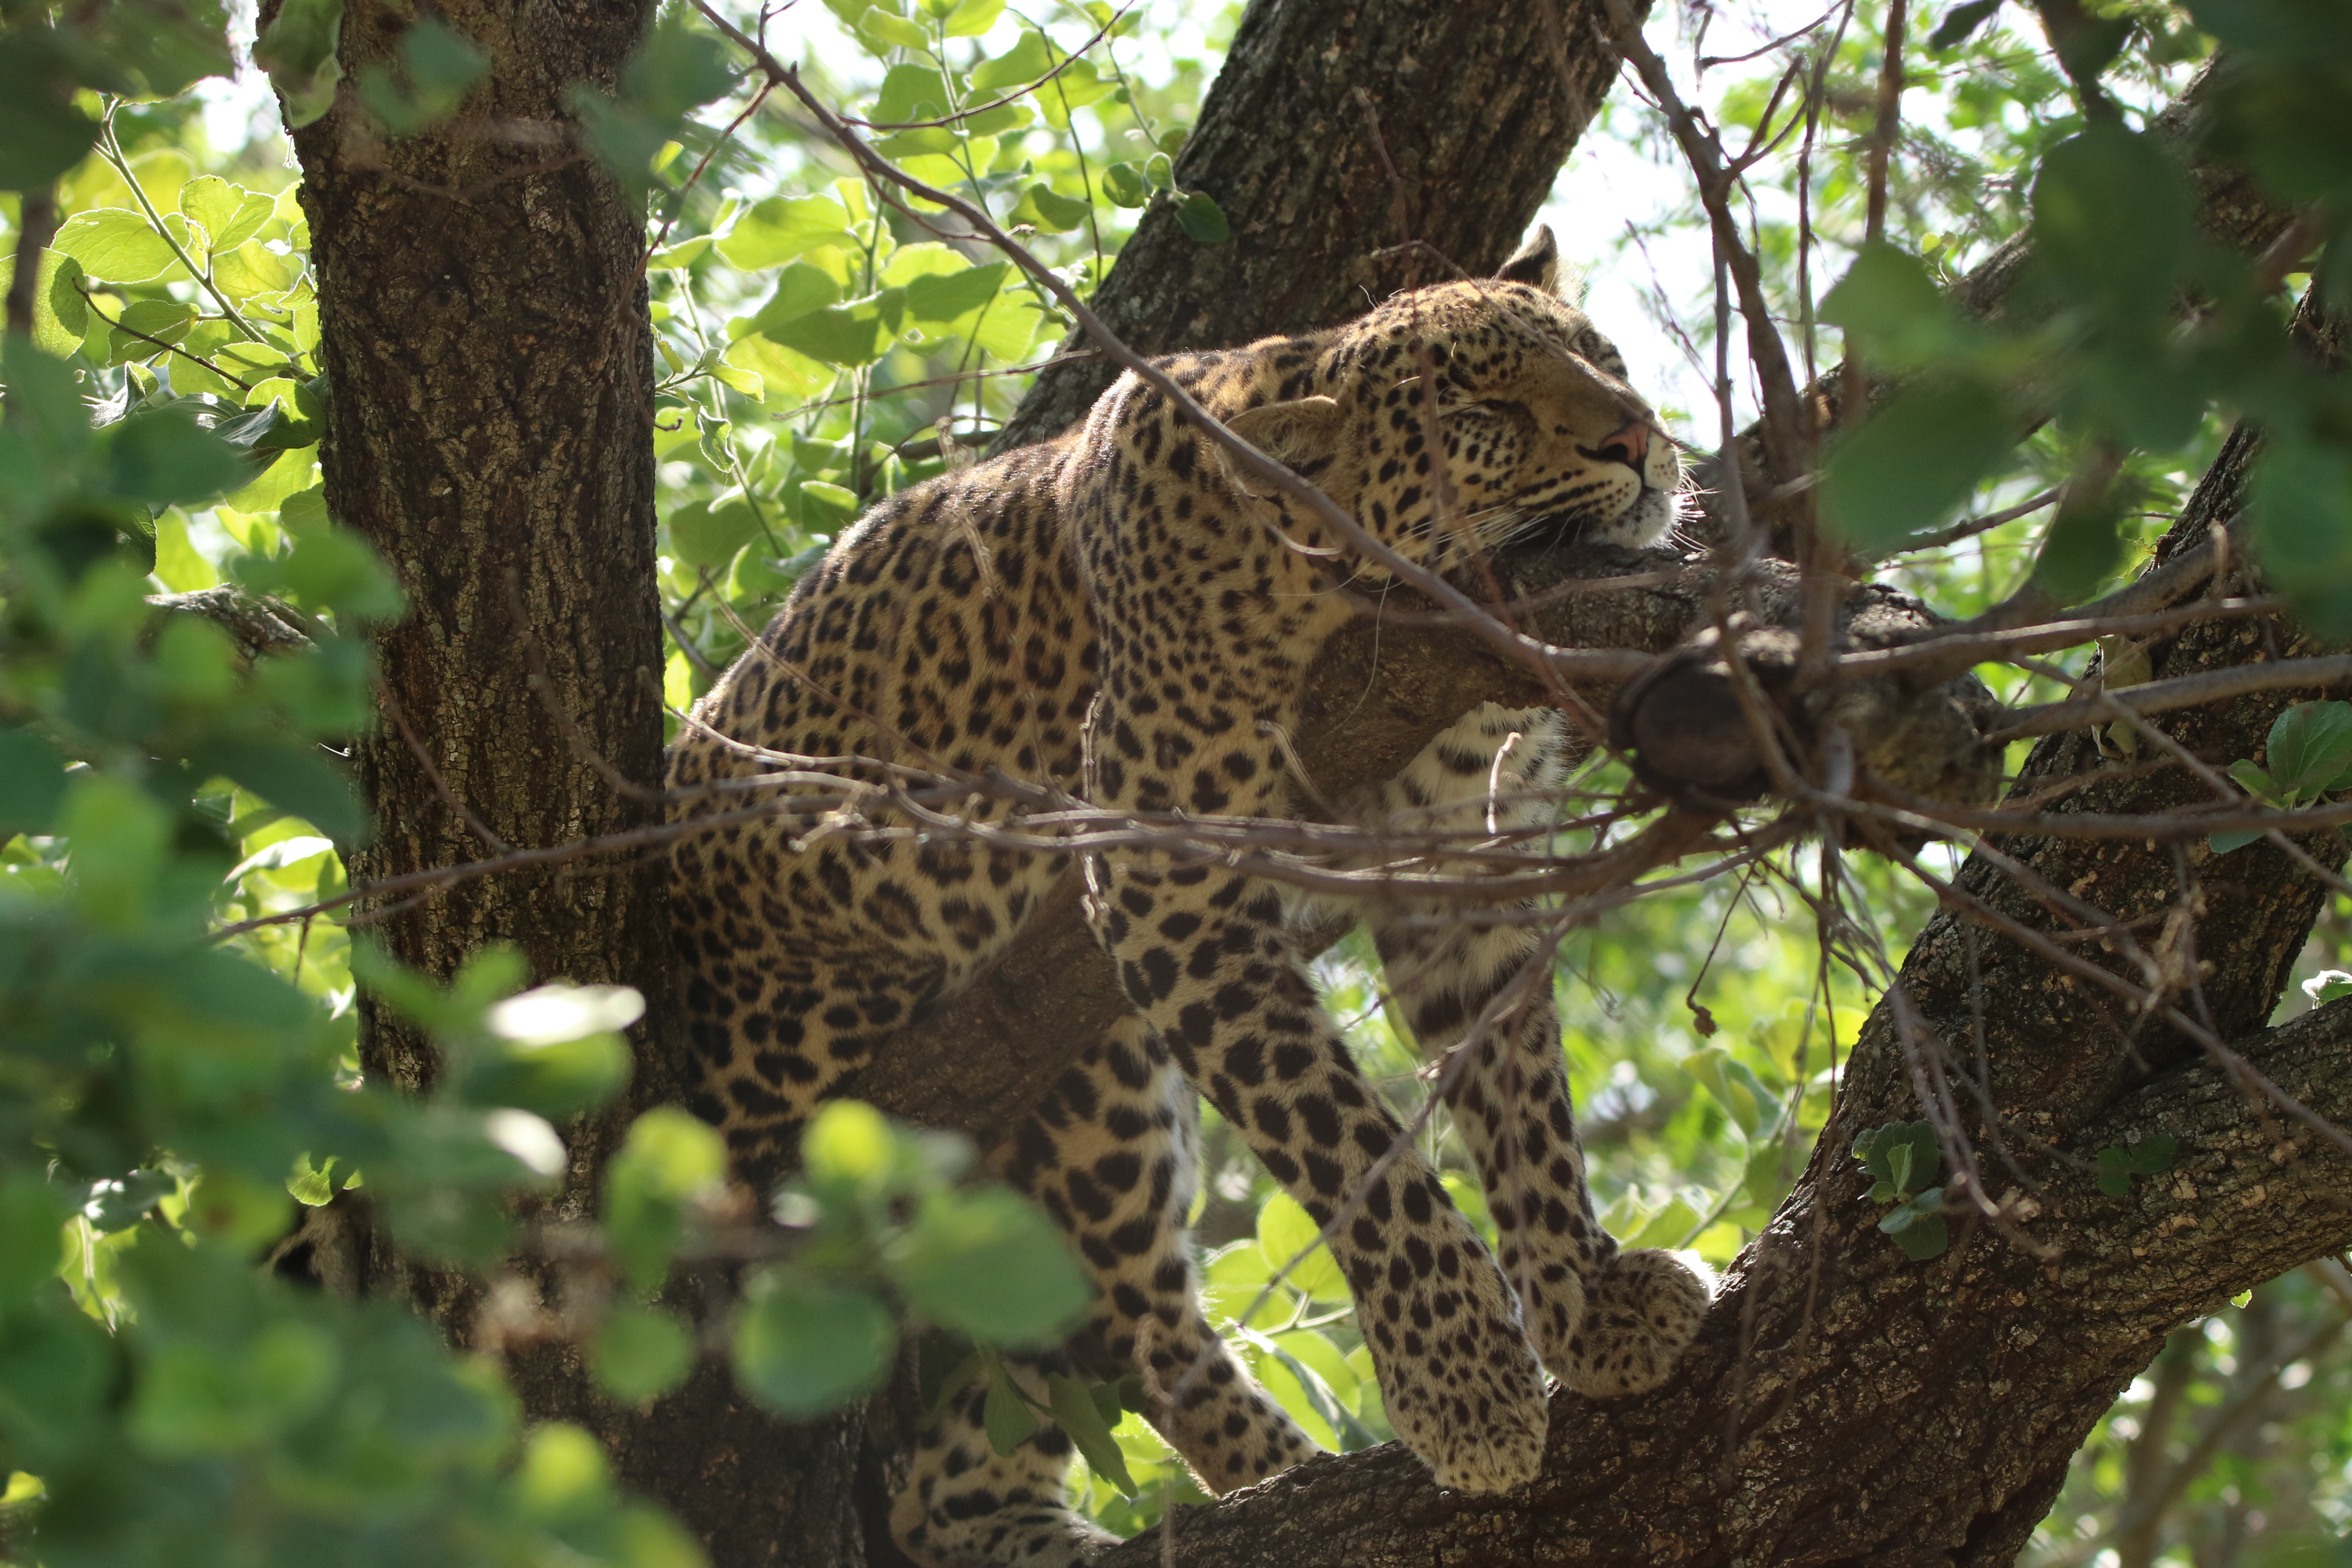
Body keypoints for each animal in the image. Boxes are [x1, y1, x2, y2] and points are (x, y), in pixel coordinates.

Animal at [665, 226, 1711, 1567]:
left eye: (1600, 359)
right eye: (1482, 413)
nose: (1634, 436)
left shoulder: (1460, 870)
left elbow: (1524, 1104)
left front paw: (1586, 1305)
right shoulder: (1168, 883)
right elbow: (1346, 1142)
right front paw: (1464, 1378)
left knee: (977, 1456)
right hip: (1048, 1084)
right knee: (1135, 1331)